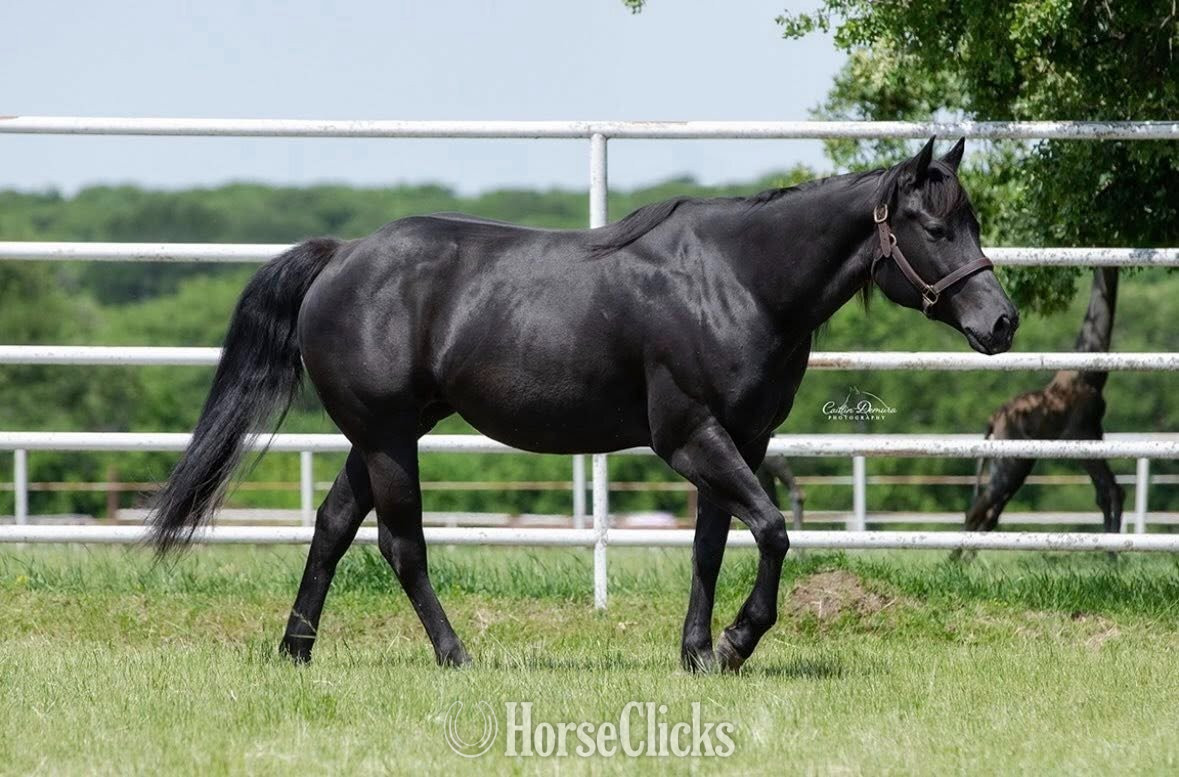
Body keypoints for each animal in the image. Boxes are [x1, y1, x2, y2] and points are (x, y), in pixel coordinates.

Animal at [150, 137, 1017, 672]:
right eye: (932, 225)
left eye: (971, 220)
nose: (1001, 322)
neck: (739, 280)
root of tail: (341, 258)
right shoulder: (689, 435)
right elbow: (771, 529)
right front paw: (736, 642)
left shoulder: (742, 439)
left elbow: (709, 546)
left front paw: (696, 652)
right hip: (390, 438)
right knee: (401, 546)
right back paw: (454, 654)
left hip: (380, 438)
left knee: (332, 527)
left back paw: (296, 649)